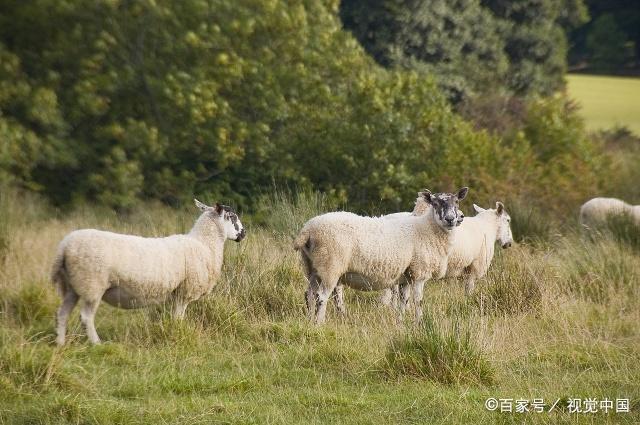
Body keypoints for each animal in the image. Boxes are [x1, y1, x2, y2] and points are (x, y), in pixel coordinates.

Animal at [49, 200, 245, 344]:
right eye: (233, 217)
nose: (244, 234)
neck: (204, 244)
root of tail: (64, 246)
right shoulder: (184, 293)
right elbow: (178, 319)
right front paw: (177, 334)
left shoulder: (177, 293)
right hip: (92, 284)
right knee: (86, 317)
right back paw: (96, 343)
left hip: (74, 285)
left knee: (62, 313)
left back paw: (60, 343)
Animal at [292, 187, 468, 322]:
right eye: (435, 203)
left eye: (457, 202)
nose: (451, 219)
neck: (427, 229)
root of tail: (308, 229)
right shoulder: (419, 273)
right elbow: (418, 301)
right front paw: (419, 323)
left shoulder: (406, 276)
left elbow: (404, 301)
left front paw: (400, 322)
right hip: (330, 266)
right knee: (321, 297)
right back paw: (319, 323)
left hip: (313, 267)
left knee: (309, 294)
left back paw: (309, 321)